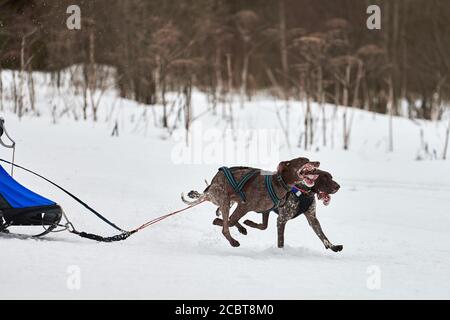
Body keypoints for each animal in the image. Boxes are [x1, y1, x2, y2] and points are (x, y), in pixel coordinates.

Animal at [181, 158, 322, 248]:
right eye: (304, 161)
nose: (318, 162)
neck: (278, 182)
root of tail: (212, 183)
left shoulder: (264, 210)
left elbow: (262, 226)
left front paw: (247, 224)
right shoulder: (244, 206)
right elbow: (229, 223)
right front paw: (218, 222)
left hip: (230, 202)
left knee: (228, 218)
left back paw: (240, 228)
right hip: (226, 201)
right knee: (226, 225)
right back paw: (232, 240)